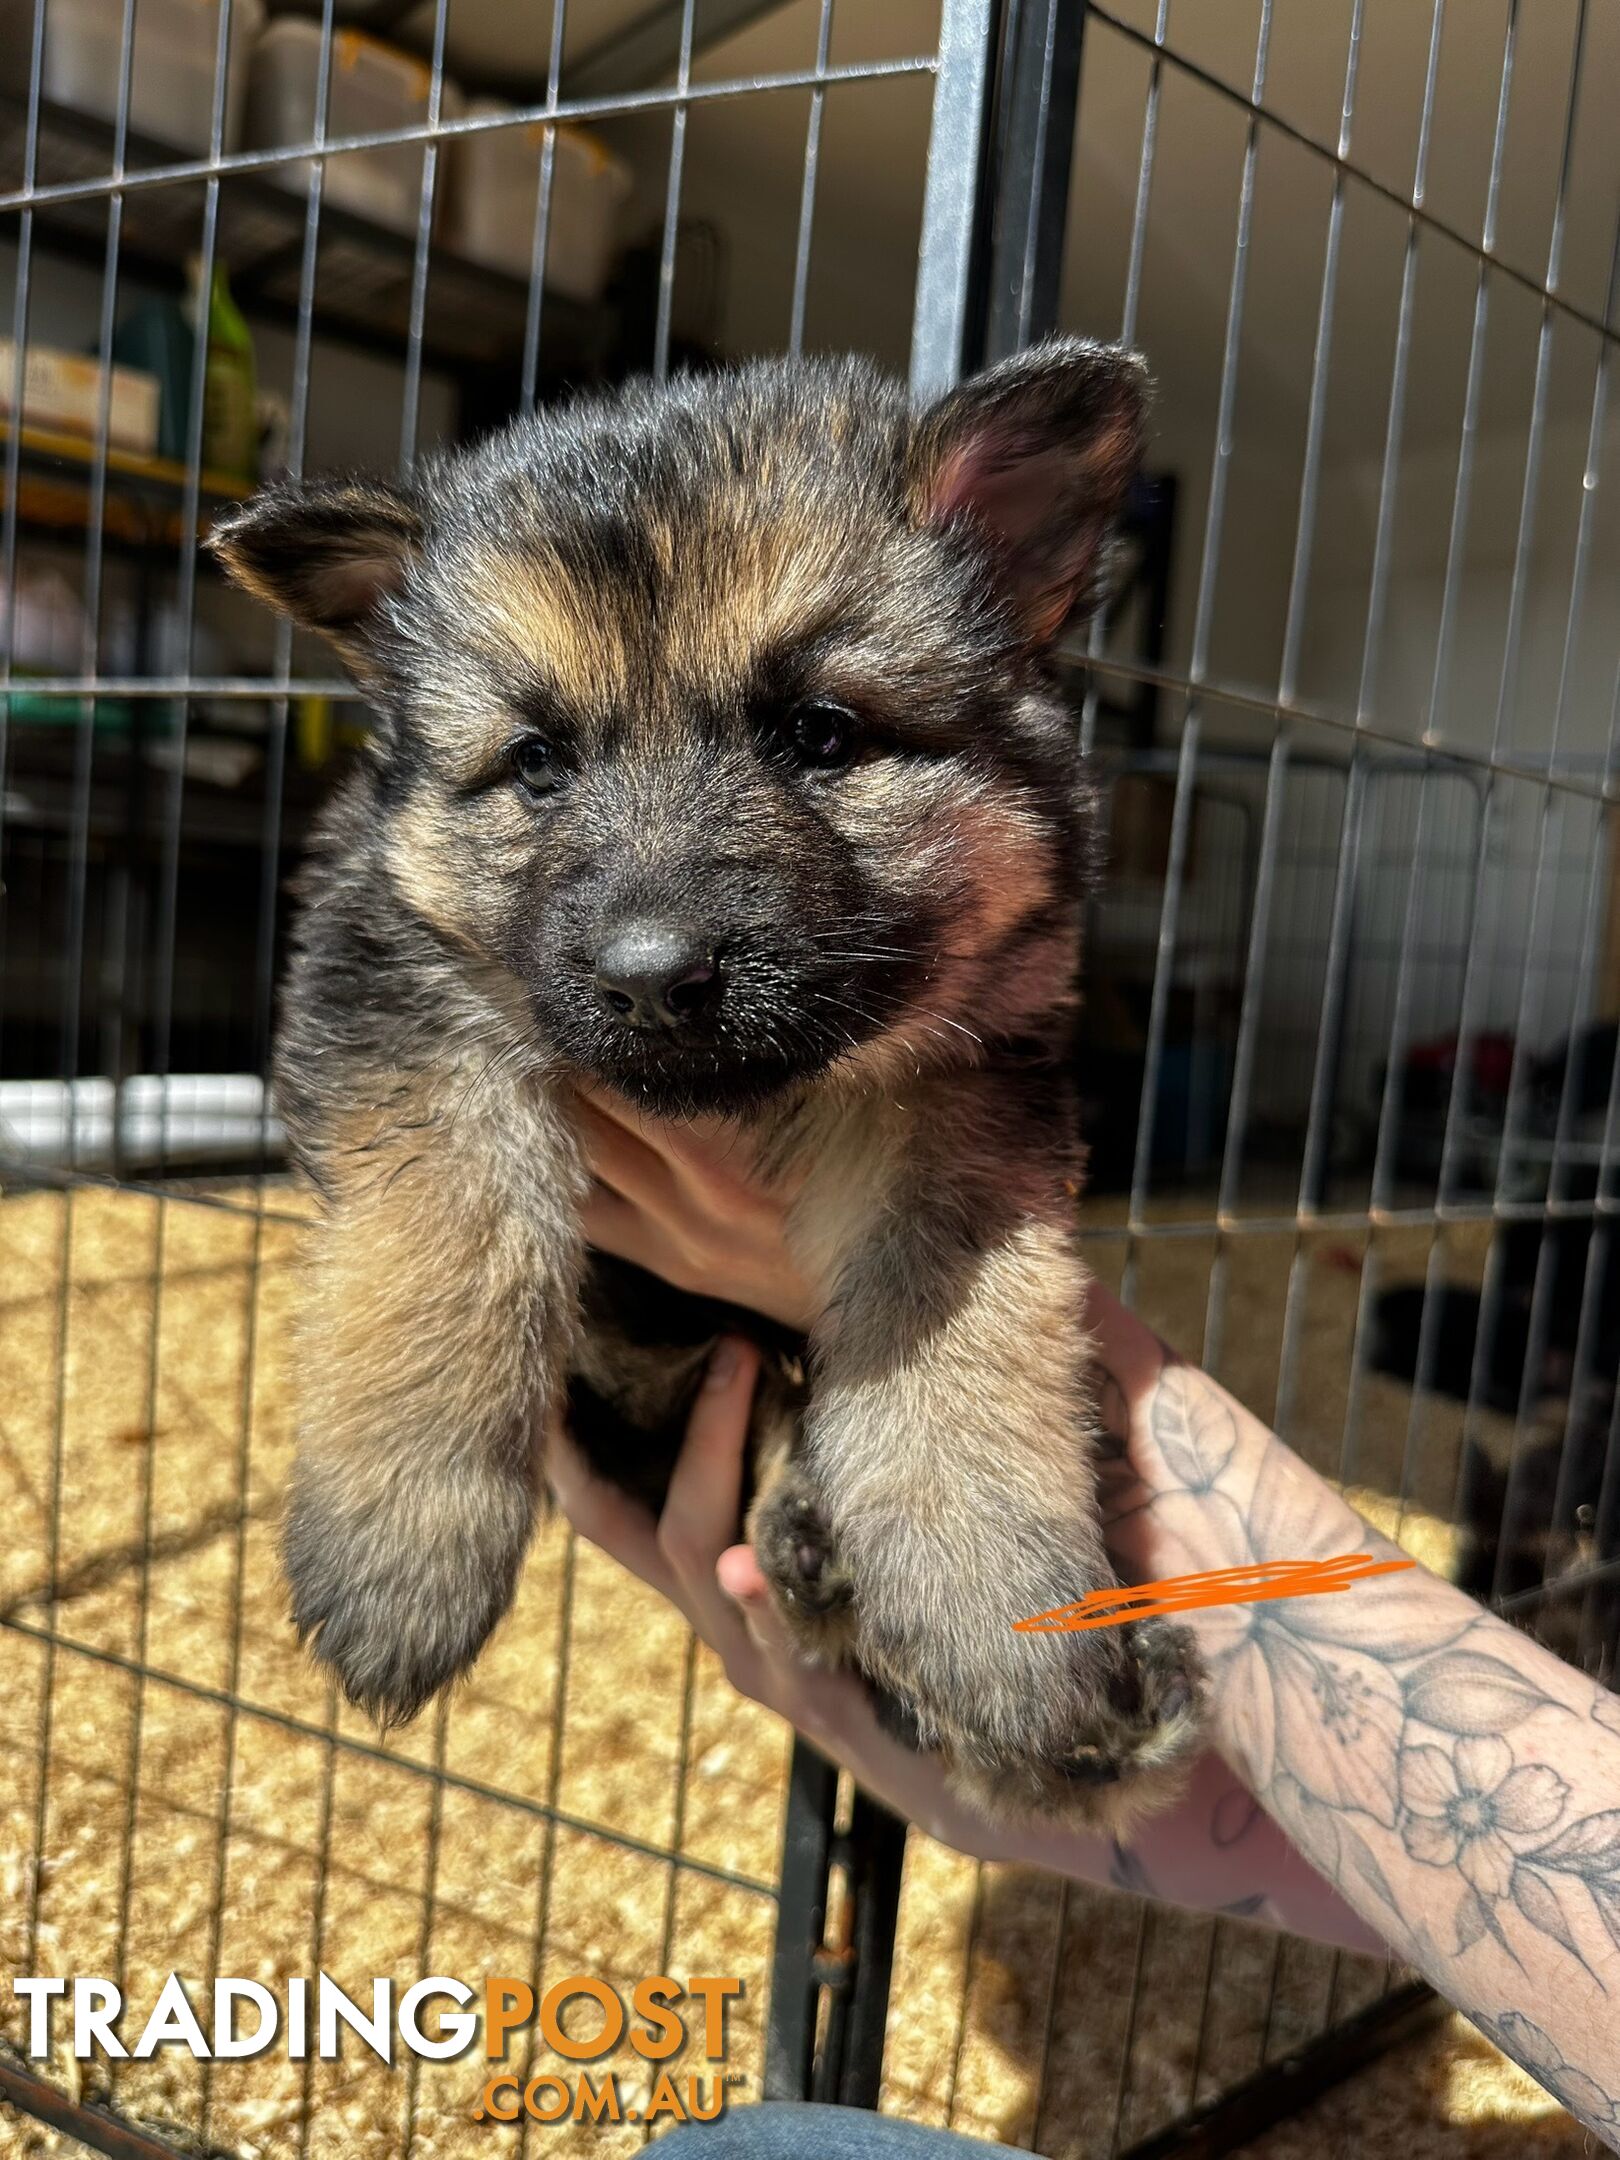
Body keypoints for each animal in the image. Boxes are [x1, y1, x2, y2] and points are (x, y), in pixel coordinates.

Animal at [212, 345, 1209, 1831]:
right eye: (536, 761)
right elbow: (438, 1241)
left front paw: (992, 1603)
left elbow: (955, 1342)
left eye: (819, 734)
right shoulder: (398, 982)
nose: (648, 980)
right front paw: (399, 1549)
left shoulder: (961, 1090)